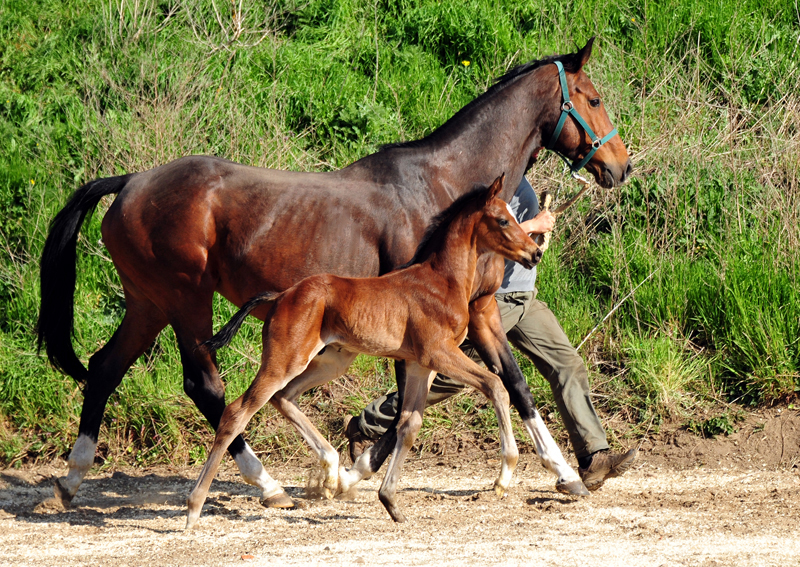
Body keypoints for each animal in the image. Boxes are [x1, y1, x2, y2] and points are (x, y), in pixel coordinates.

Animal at [187, 175, 540, 532]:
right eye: (503, 220)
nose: (535, 252)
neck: (441, 281)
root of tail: (281, 296)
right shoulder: (439, 353)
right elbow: (495, 385)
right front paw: (504, 476)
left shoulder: (420, 365)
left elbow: (409, 424)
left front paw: (390, 501)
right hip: (286, 359)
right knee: (237, 411)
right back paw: (194, 507)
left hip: (331, 361)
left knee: (283, 397)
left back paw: (331, 472)